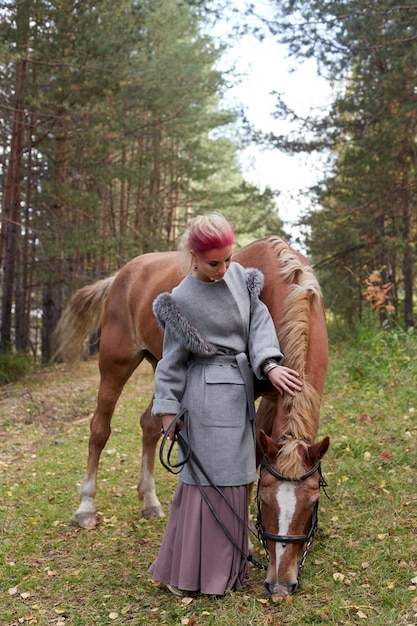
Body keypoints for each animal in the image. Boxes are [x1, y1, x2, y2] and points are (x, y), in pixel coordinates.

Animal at [53, 234, 330, 596]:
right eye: (265, 501)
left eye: (312, 503)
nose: (281, 583)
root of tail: (121, 276)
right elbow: (249, 466)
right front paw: (246, 545)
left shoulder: (273, 401)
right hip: (115, 363)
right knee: (100, 429)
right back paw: (86, 506)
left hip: (162, 364)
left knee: (151, 425)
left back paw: (150, 501)